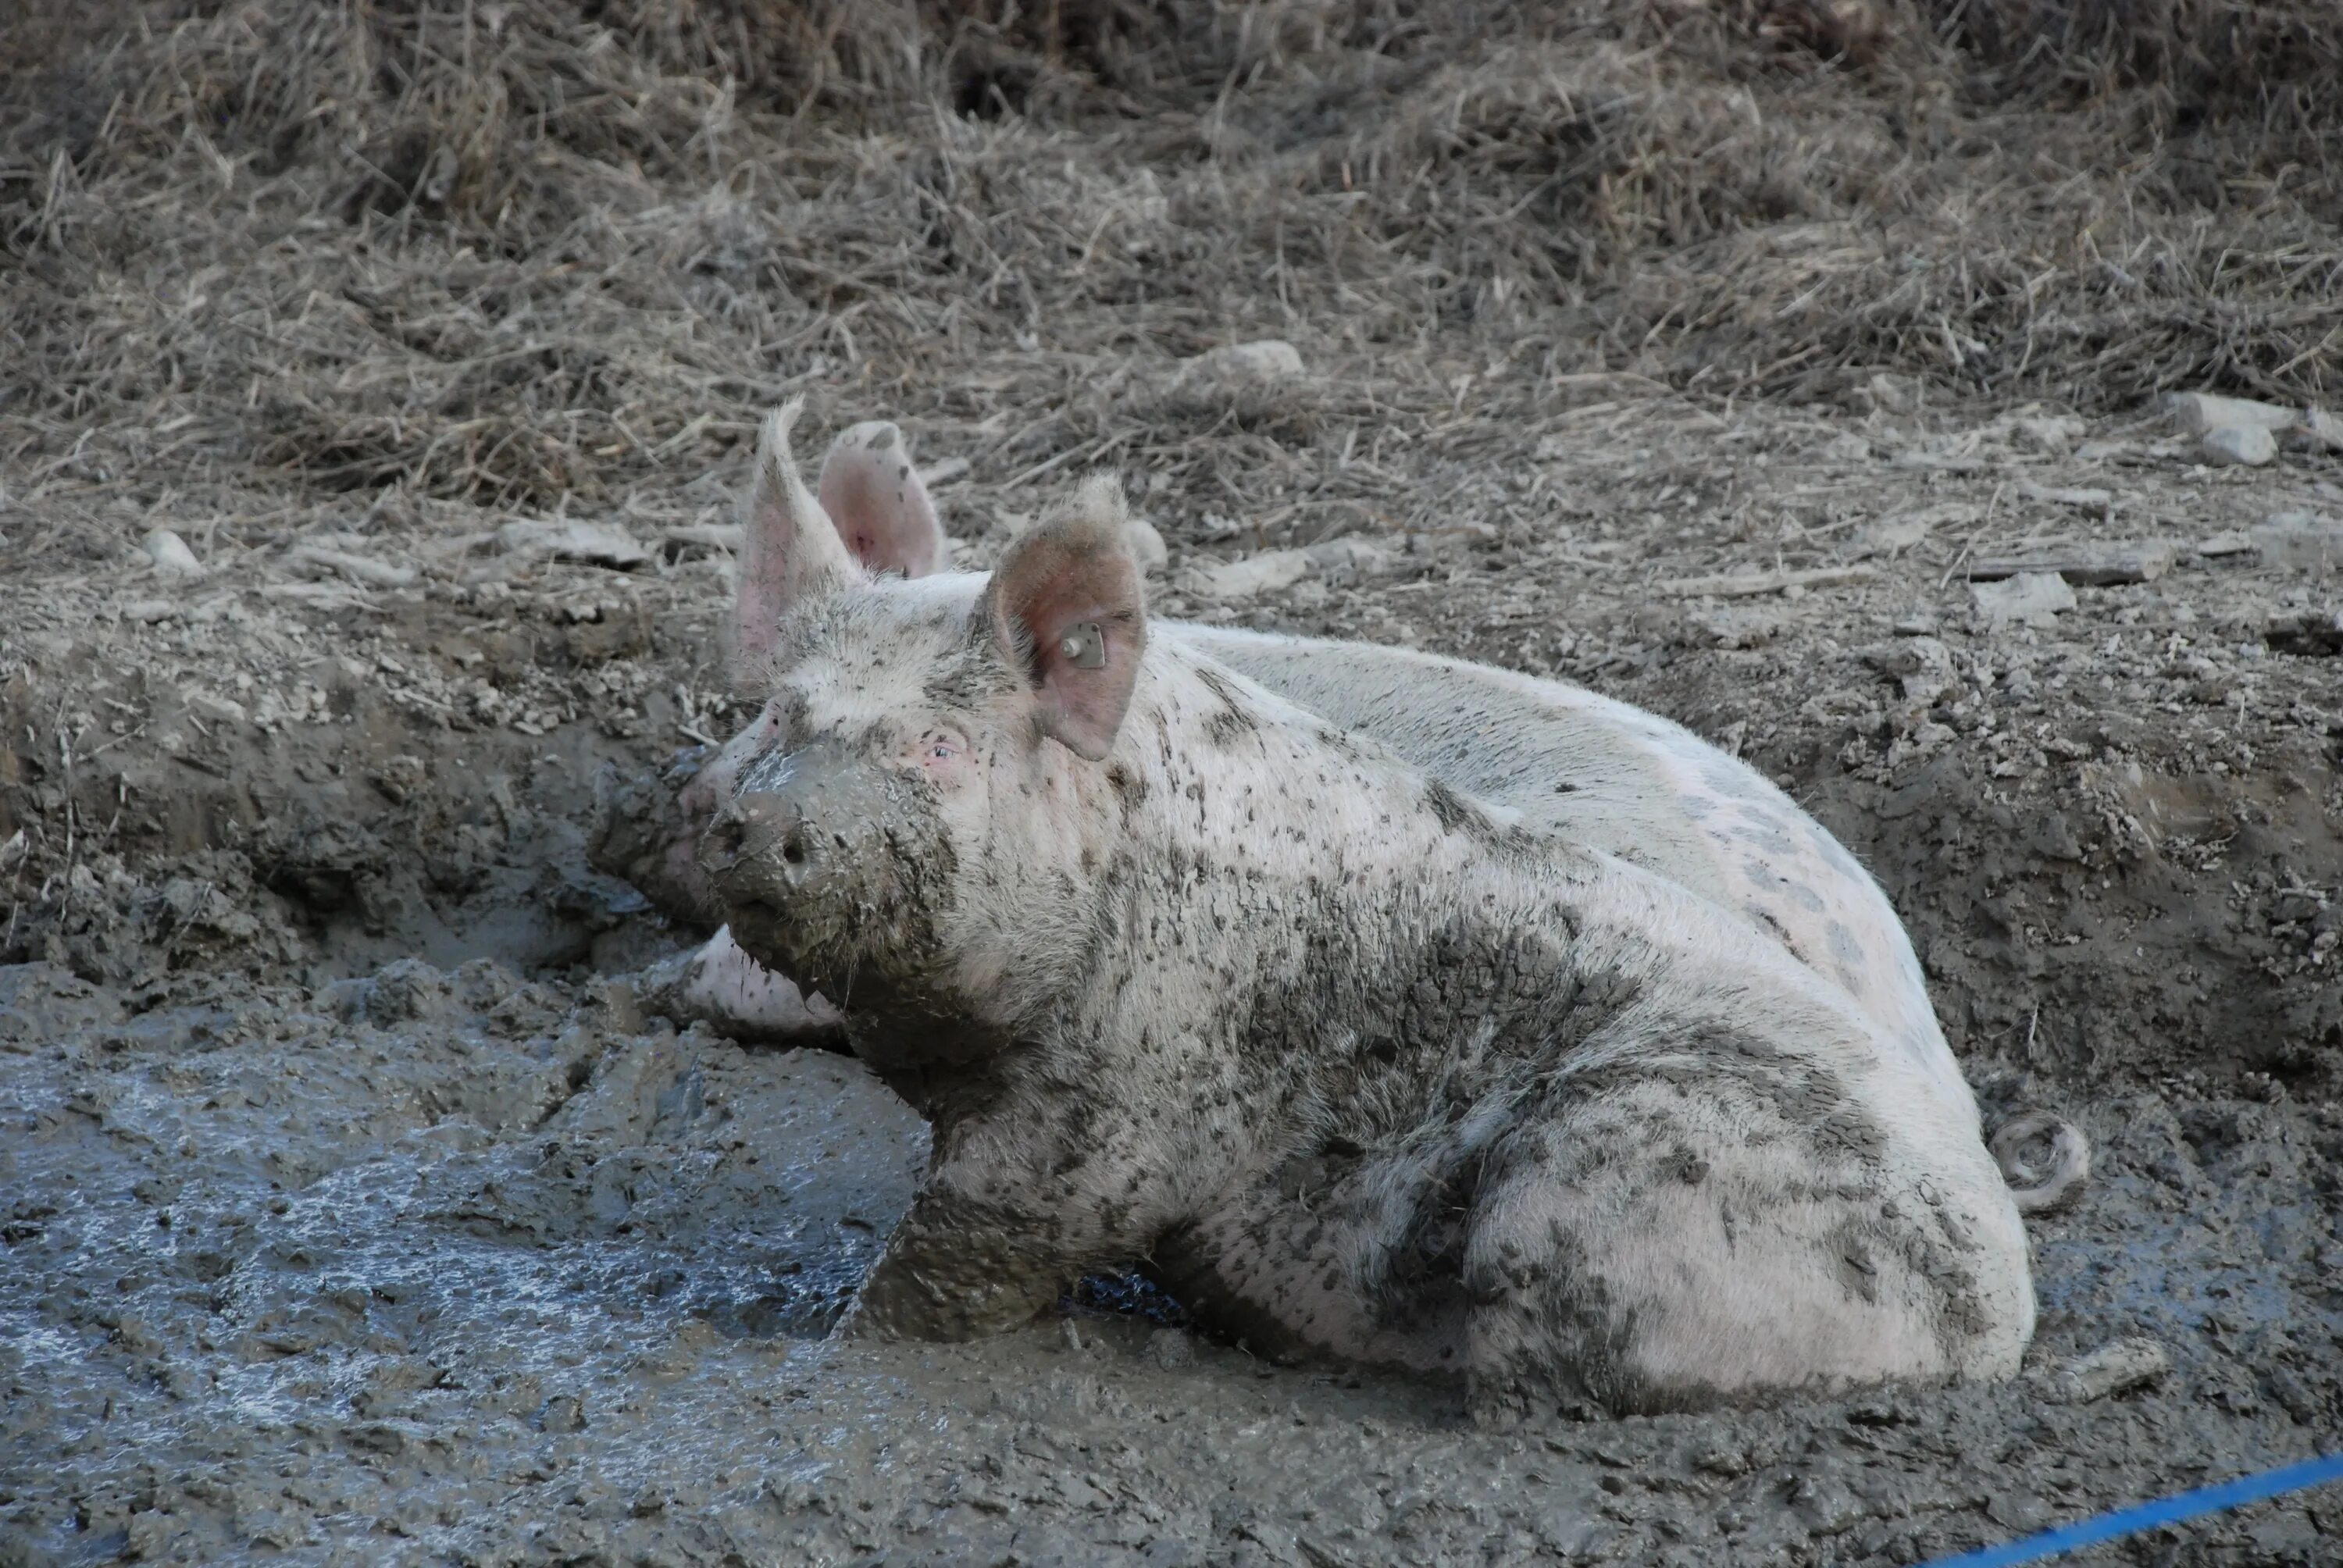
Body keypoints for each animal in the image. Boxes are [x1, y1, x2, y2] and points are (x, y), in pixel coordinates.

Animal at [684, 398, 2062, 1415]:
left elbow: (969, 1250)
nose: (751, 819)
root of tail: (2002, 1311)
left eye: (940, 751)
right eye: (781, 716)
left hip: (1622, 1180)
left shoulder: (1131, 1102)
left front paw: (821, 1345)